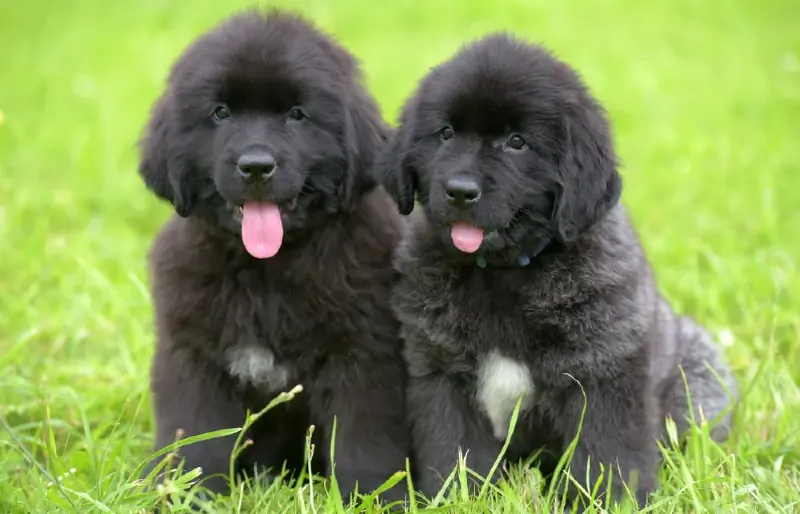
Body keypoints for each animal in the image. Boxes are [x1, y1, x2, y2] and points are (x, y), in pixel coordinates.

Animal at [136, 8, 406, 502]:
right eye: (220, 113)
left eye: (296, 115)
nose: (256, 165)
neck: (265, 270)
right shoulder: (193, 352)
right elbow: (195, 436)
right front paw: (185, 495)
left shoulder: (364, 353)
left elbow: (364, 438)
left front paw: (375, 498)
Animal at [376, 34, 736, 506]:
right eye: (446, 133)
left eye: (517, 142)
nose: (460, 191)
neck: (504, 275)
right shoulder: (441, 373)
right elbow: (455, 452)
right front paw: (454, 499)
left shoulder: (603, 371)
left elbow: (605, 455)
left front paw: (607, 502)